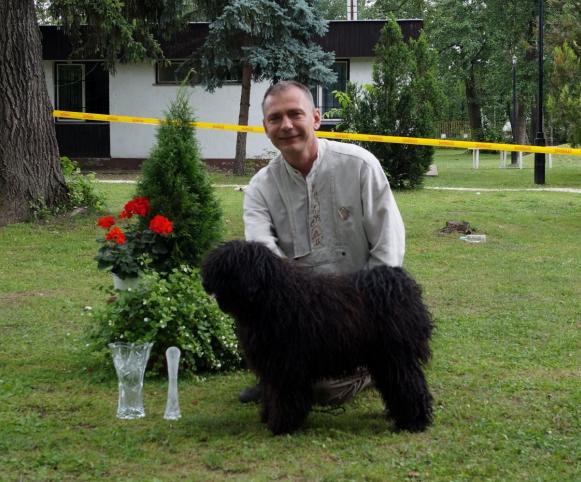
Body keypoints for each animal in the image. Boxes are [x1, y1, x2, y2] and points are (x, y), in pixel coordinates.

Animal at [202, 239, 432, 434]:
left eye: (226, 266)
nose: (205, 280)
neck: (272, 299)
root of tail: (400, 286)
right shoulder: (272, 368)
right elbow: (270, 393)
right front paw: (267, 417)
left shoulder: (286, 367)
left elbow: (284, 397)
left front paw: (281, 425)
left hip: (395, 358)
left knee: (409, 386)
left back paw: (415, 421)